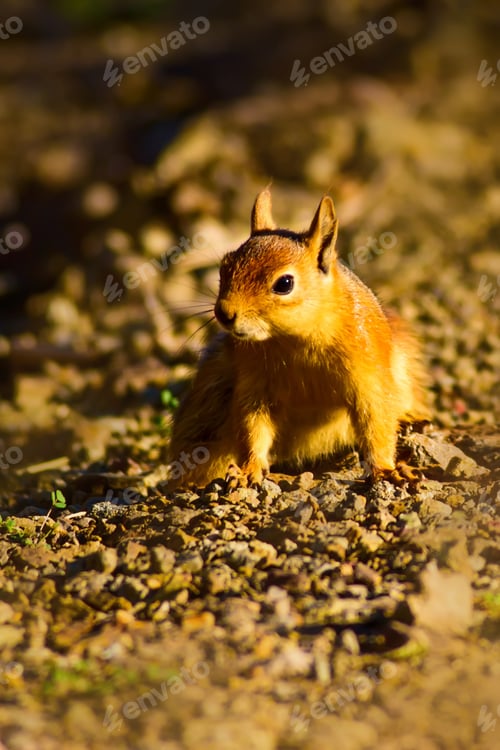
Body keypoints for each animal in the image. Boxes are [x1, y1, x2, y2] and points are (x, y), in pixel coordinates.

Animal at [167, 188, 430, 489]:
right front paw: (249, 470)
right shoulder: (252, 385)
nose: (224, 313)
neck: (296, 340)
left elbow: (377, 422)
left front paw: (386, 469)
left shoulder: (369, 374)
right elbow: (252, 427)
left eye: (285, 283)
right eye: (224, 267)